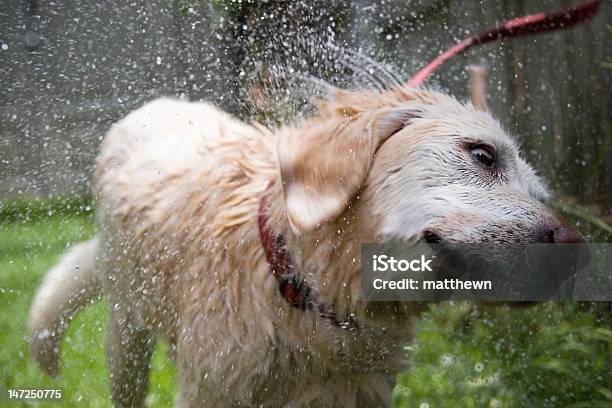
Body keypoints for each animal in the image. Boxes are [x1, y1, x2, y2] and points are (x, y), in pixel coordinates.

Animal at [28, 84, 584, 406]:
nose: (577, 248)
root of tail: (154, 106)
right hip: (127, 329)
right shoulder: (213, 389)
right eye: (483, 155)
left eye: (540, 194)